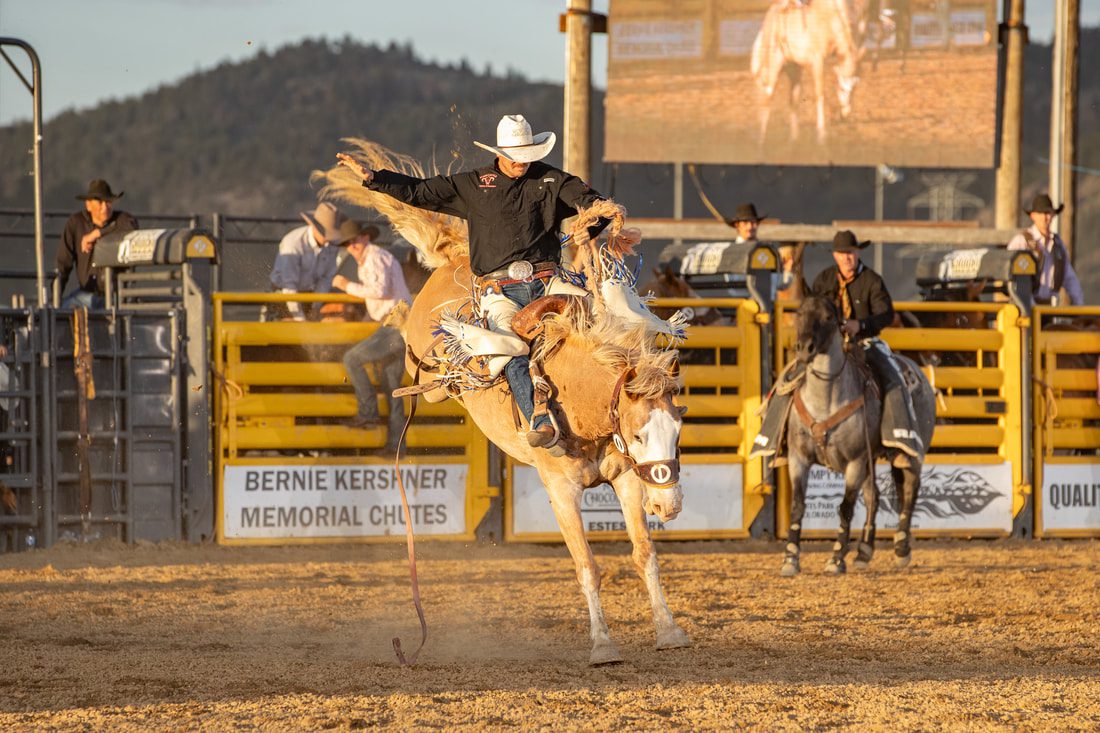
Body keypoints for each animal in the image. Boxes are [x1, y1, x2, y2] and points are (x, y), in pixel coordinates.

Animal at [314, 138, 686, 660]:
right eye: (636, 433)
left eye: (678, 429)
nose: (670, 507)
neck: (579, 403)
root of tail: (455, 257)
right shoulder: (560, 490)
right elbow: (587, 567)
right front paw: (602, 646)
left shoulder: (628, 481)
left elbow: (644, 555)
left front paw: (669, 631)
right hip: (429, 370)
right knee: (411, 345)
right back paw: (395, 315)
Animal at [783, 294, 937, 572]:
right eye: (799, 313)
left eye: (828, 317)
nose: (804, 349)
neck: (825, 400)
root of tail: (916, 368)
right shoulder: (798, 459)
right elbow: (798, 506)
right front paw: (791, 558)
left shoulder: (854, 461)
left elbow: (845, 507)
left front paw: (836, 558)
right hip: (871, 458)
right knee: (873, 495)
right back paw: (864, 550)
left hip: (909, 453)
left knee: (910, 490)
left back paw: (901, 547)